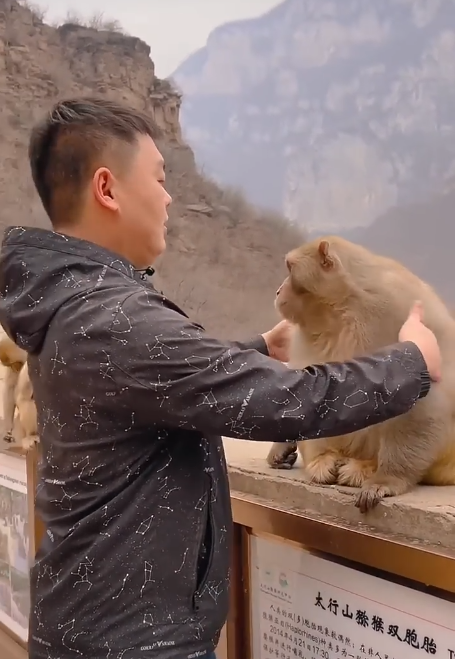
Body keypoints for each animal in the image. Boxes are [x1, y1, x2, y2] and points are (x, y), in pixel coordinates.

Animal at [266, 236, 455, 513]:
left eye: (290, 269)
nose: (279, 291)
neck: (342, 311)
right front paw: (316, 457)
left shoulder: (393, 313)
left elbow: (421, 402)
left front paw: (387, 479)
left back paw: (364, 467)